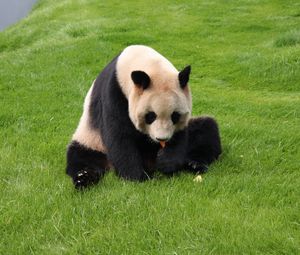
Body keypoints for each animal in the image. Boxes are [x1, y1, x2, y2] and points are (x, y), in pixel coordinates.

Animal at [65, 44, 221, 188]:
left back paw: (194, 163)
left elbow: (179, 135)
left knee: (206, 130)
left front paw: (167, 164)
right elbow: (119, 135)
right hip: (92, 140)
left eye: (175, 116)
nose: (161, 139)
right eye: (150, 116)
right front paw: (136, 177)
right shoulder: (114, 93)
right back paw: (83, 178)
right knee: (83, 156)